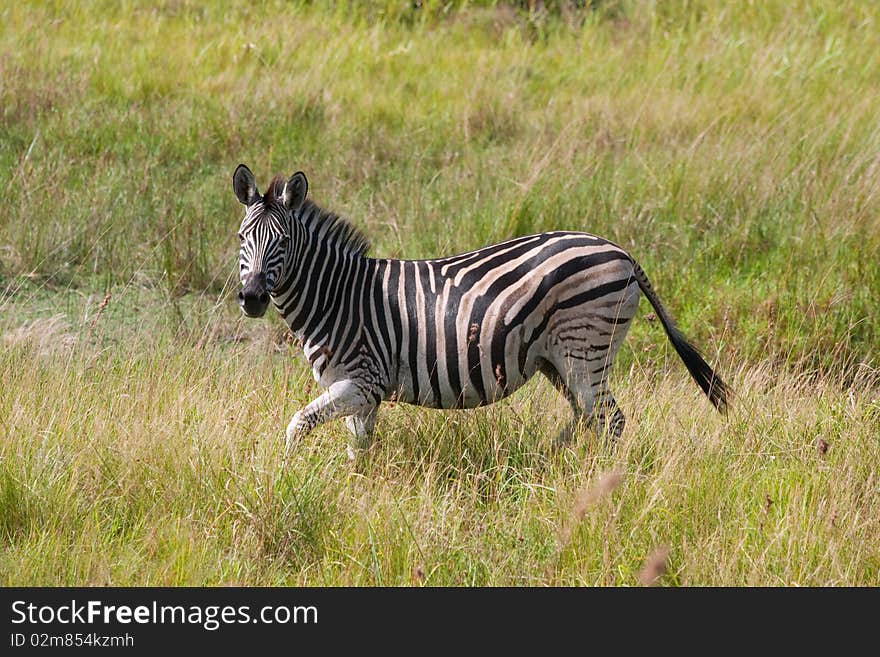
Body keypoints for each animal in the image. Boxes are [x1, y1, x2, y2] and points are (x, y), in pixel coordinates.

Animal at [234, 164, 728, 458]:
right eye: (242, 239)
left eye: (282, 243)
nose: (253, 298)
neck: (337, 296)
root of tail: (621, 251)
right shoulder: (362, 394)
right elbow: (360, 449)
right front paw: (356, 492)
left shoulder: (362, 381)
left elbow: (297, 425)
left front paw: (291, 477)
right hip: (560, 362)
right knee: (588, 418)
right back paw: (552, 459)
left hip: (585, 352)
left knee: (611, 421)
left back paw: (600, 480)